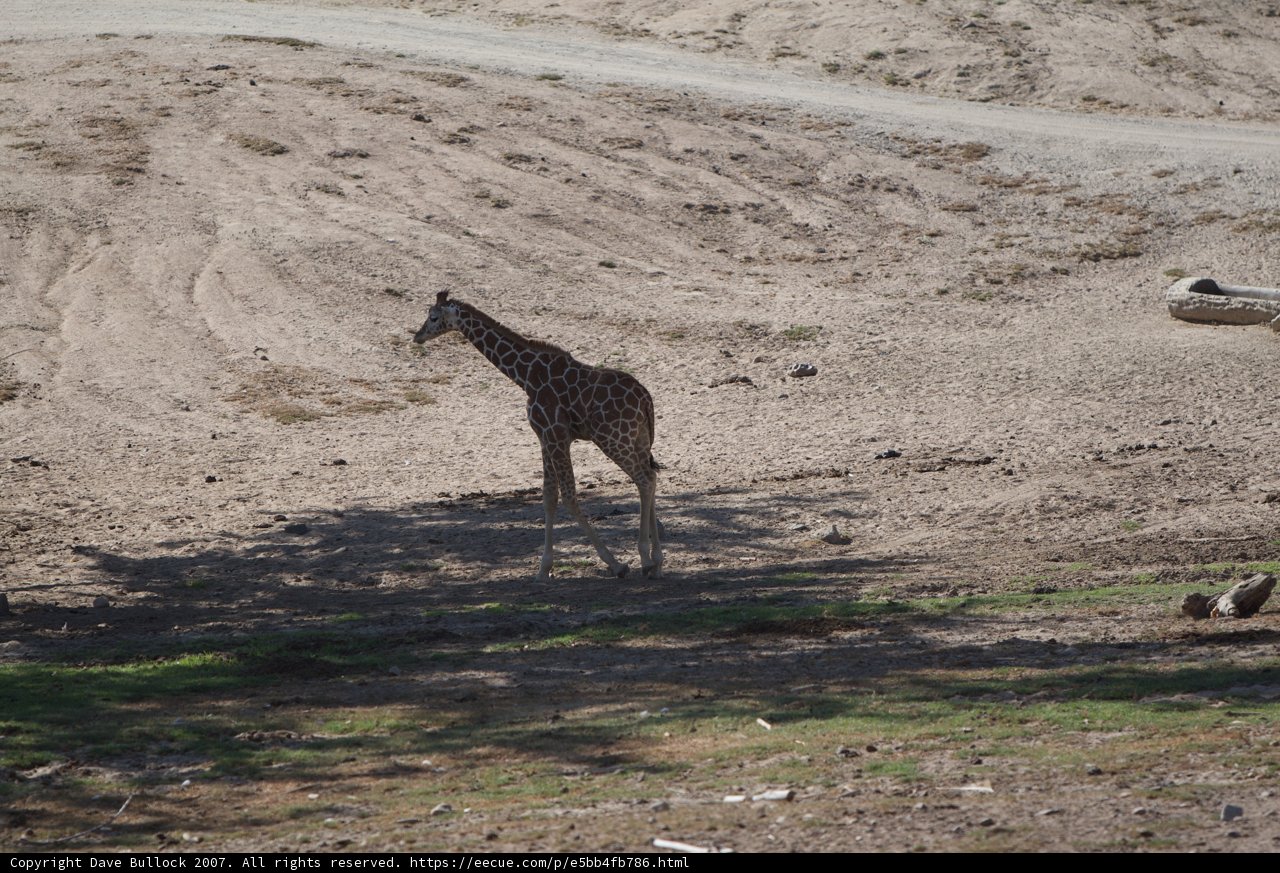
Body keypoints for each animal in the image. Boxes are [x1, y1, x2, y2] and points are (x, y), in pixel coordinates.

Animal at [413, 291, 662, 582]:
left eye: (433, 317)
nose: (417, 336)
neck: (527, 376)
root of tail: (645, 399)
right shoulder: (545, 437)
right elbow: (549, 497)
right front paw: (544, 568)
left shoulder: (555, 435)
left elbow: (569, 497)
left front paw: (615, 564)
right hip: (639, 439)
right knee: (651, 477)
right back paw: (657, 560)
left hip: (612, 438)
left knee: (644, 479)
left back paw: (645, 557)